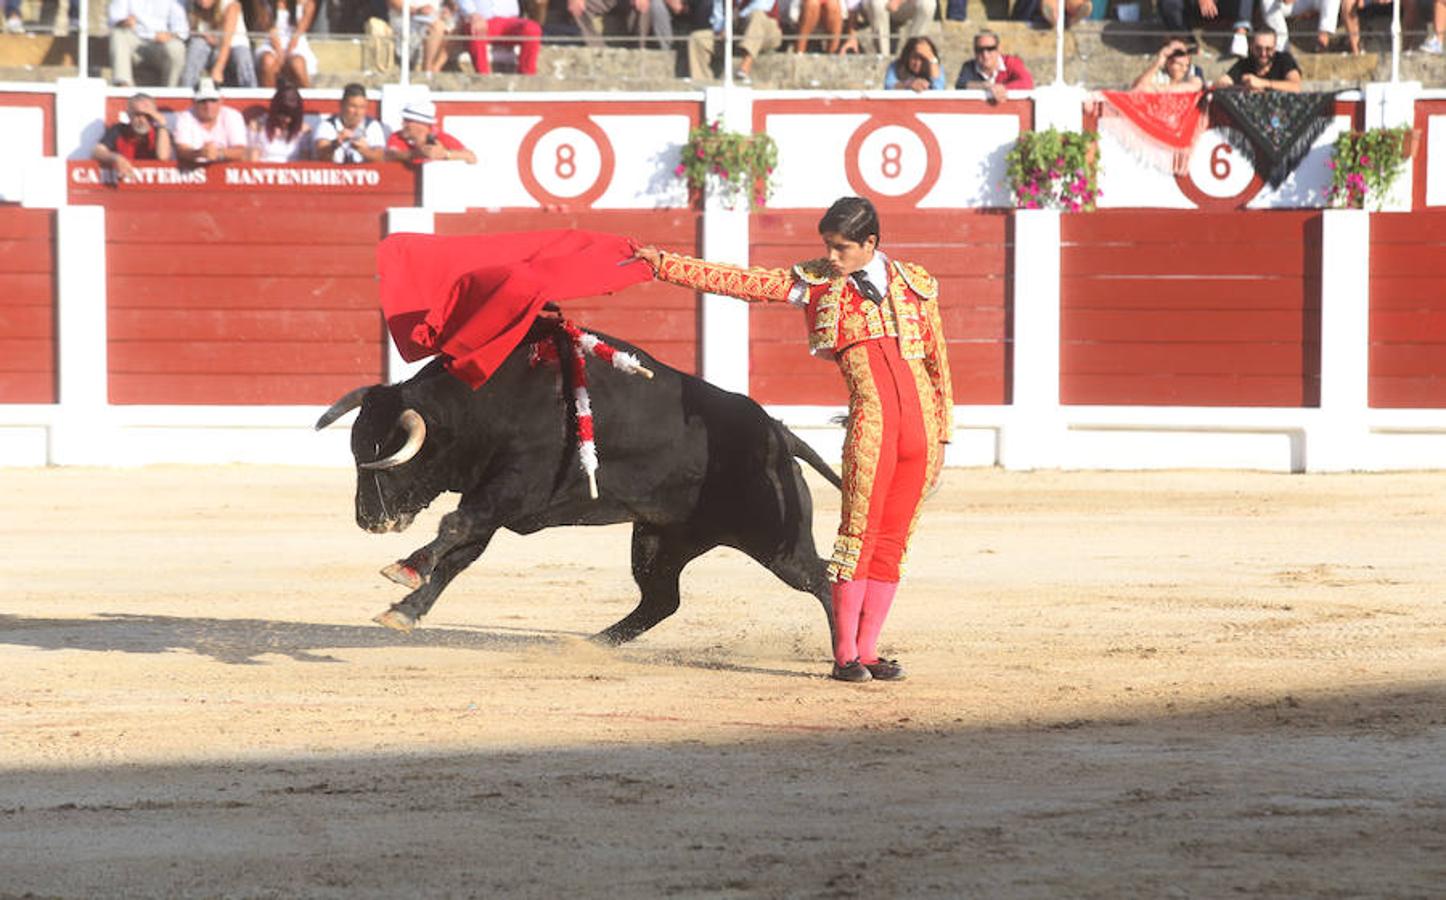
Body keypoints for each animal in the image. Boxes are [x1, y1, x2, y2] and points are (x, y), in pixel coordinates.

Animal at [313, 321, 838, 645]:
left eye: (385, 461)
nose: (367, 519)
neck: (486, 405)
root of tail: (778, 432)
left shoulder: (511, 489)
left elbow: (454, 528)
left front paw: (404, 568)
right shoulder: (493, 504)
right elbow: (458, 555)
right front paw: (403, 609)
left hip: (777, 542)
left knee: (823, 580)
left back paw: (849, 665)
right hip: (659, 539)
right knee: (661, 599)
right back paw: (593, 644)